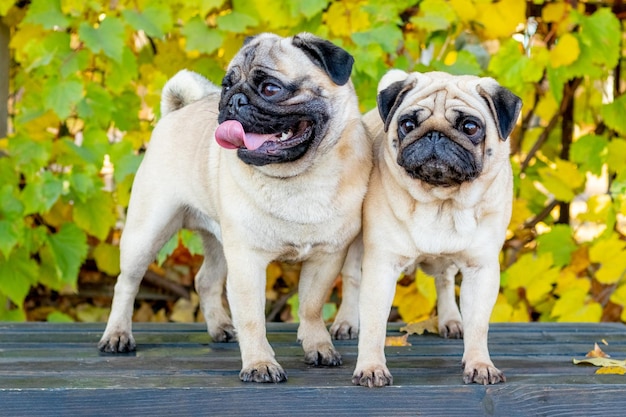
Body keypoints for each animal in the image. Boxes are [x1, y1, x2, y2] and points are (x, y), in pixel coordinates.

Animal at [97, 33, 370, 384]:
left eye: (270, 88)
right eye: (226, 85)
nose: (233, 100)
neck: (300, 179)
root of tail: (175, 113)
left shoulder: (326, 257)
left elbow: (311, 306)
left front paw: (318, 347)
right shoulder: (247, 261)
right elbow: (252, 317)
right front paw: (260, 364)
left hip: (219, 241)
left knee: (205, 280)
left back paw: (221, 328)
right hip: (147, 231)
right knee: (127, 284)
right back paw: (117, 335)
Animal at [352, 70, 520, 386]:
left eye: (470, 127)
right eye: (408, 124)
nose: (434, 134)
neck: (442, 201)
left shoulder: (480, 269)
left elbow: (478, 325)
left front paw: (480, 364)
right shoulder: (381, 266)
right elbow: (373, 324)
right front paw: (371, 367)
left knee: (445, 280)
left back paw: (451, 320)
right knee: (351, 281)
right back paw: (345, 322)